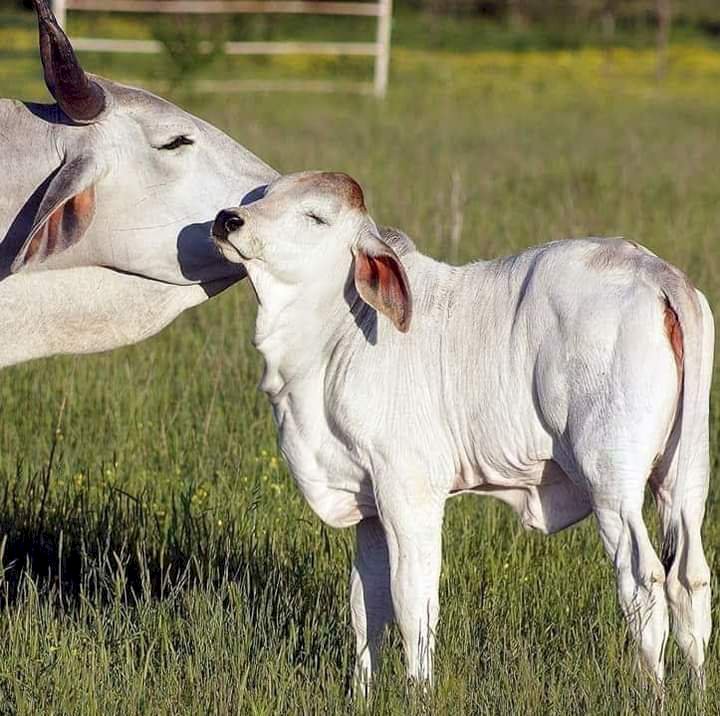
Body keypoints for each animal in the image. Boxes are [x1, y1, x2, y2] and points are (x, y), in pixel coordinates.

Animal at [211, 172, 712, 692]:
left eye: (315, 217)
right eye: (262, 196)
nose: (228, 220)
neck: (333, 336)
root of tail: (657, 274)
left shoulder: (408, 490)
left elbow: (412, 601)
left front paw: (418, 691)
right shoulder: (369, 505)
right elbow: (365, 606)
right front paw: (362, 693)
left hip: (612, 481)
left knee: (643, 578)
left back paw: (652, 690)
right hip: (685, 473)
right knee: (691, 578)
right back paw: (695, 690)